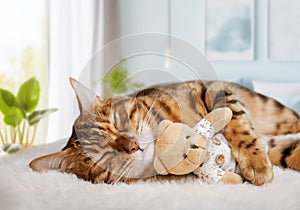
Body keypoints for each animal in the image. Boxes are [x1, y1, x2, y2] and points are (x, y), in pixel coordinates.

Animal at [29, 78, 300, 185]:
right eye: (104, 156)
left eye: (117, 121)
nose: (134, 146)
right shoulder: (273, 145)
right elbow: (289, 152)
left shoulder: (212, 88)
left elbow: (238, 123)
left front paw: (256, 163)